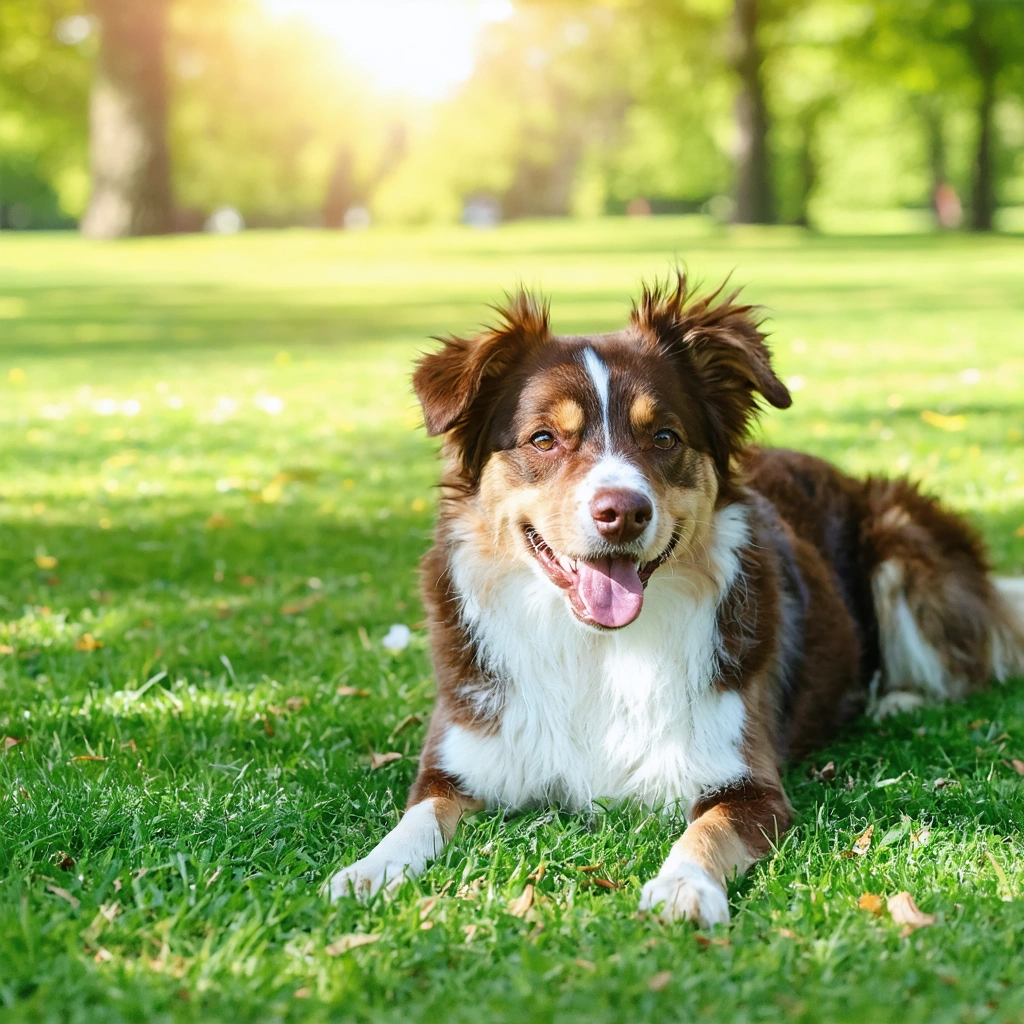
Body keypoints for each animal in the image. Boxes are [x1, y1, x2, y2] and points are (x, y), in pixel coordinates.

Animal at [329, 274, 1024, 929]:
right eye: (543, 439)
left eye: (664, 436)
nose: (623, 512)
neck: (594, 650)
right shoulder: (457, 766)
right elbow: (417, 818)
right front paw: (369, 869)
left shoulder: (746, 783)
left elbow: (705, 832)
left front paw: (684, 887)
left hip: (900, 543)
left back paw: (896, 698)